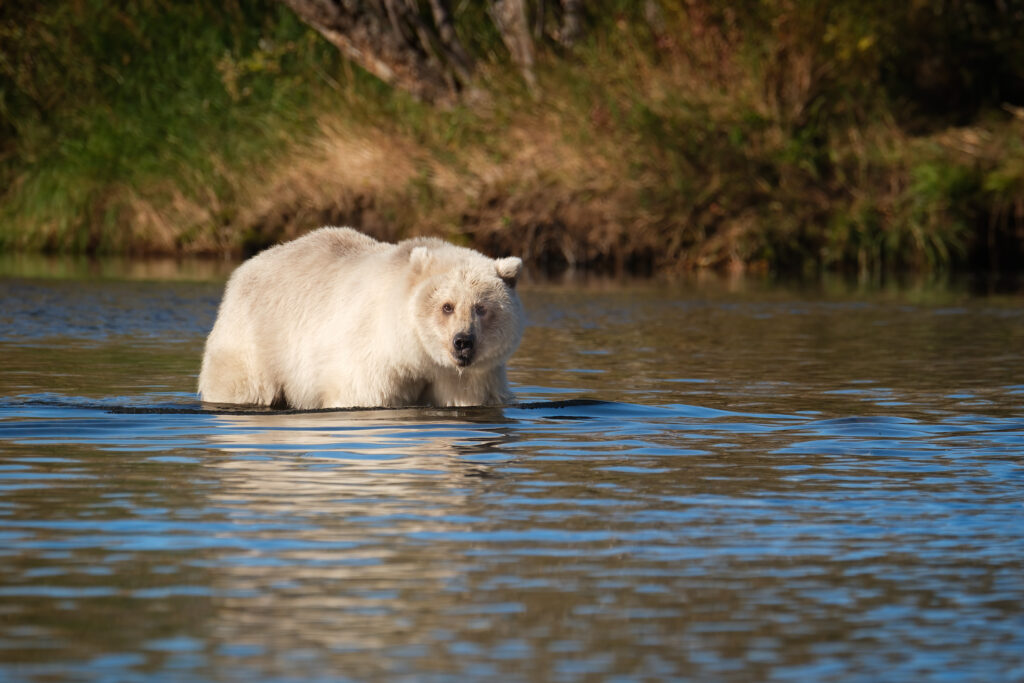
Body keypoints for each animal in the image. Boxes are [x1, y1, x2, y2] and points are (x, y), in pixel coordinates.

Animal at [197, 227, 525, 410]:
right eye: (447, 306)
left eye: (481, 307)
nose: (463, 342)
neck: (414, 354)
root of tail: (243, 270)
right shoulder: (371, 356)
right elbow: (363, 395)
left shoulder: (467, 376)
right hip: (253, 337)